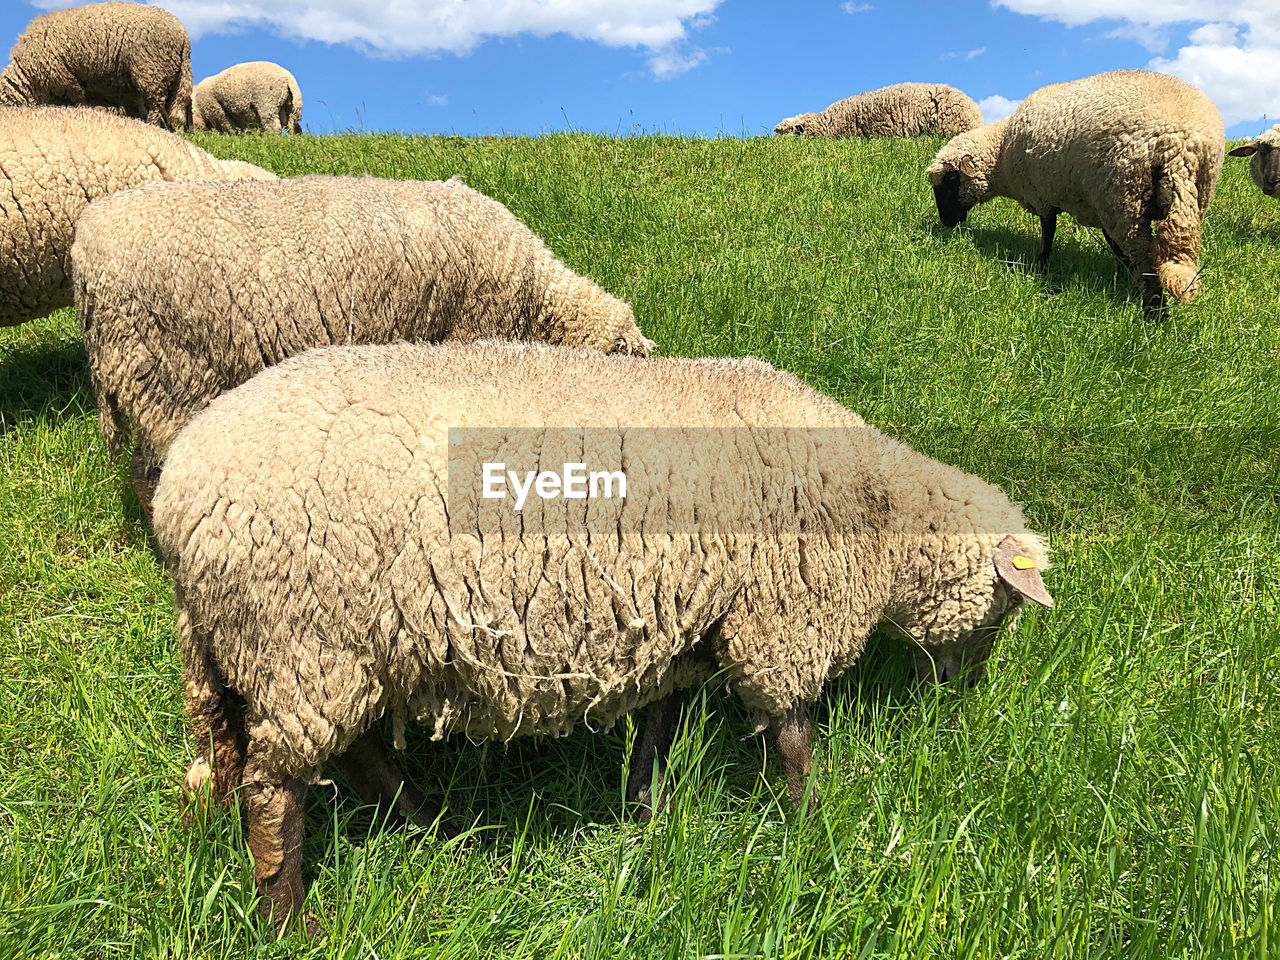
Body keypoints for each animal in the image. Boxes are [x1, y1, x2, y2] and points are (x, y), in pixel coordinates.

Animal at [0, 2, 194, 129]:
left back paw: (151, 126)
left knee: (156, 106)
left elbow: (79, 103)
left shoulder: (68, 82)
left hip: (152, 71)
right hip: (171, 76)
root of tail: (182, 33)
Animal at [926, 73, 1223, 320]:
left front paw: (1041, 267)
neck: (1002, 155)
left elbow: (1048, 235)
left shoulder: (1044, 196)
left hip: (1125, 195)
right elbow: (1111, 246)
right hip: (1190, 197)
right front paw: (1122, 274)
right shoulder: (1097, 205)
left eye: (950, 180)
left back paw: (1154, 314)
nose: (946, 223)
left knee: (1144, 258)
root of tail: (1180, 142)